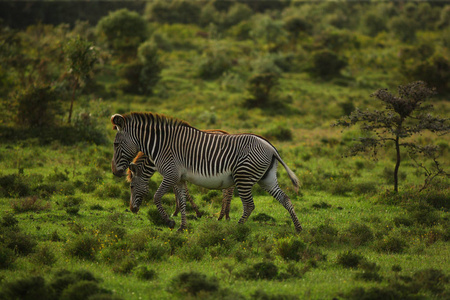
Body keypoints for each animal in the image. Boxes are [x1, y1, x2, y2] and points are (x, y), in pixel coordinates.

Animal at [111, 112, 302, 232]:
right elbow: (182, 199)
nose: (132, 209)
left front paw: (170, 222)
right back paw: (298, 228)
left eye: (132, 186)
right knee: (285, 198)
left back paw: (237, 227)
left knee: (249, 205)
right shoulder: (179, 178)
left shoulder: (171, 174)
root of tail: (270, 147)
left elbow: (157, 197)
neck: (160, 145)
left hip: (243, 176)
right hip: (266, 178)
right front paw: (182, 226)